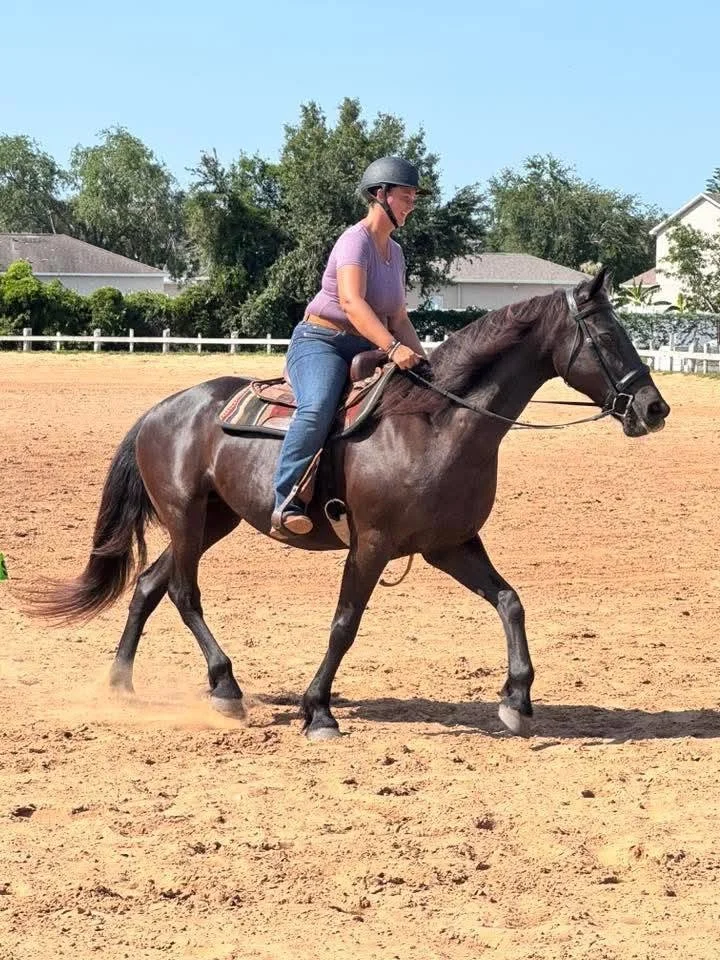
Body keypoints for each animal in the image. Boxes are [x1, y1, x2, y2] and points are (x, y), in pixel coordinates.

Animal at [27, 266, 670, 740]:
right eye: (607, 336)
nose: (654, 408)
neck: (435, 422)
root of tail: (162, 410)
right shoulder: (372, 546)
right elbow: (345, 624)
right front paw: (318, 710)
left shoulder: (449, 545)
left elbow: (510, 602)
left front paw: (516, 699)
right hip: (185, 517)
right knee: (184, 593)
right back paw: (225, 688)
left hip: (214, 520)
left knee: (149, 585)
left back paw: (121, 683)